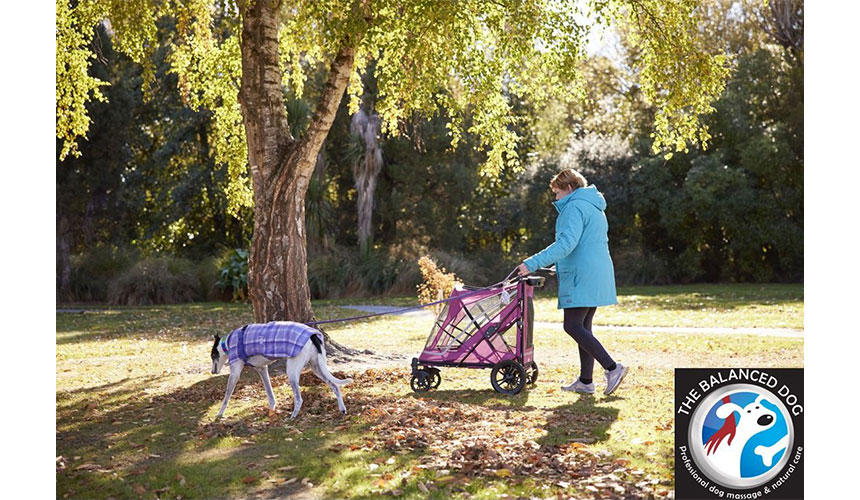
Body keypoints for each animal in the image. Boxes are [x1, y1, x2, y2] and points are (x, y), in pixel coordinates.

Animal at [210, 320, 352, 418]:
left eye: (212, 356)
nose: (212, 372)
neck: (227, 343)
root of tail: (313, 336)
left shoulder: (235, 373)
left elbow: (227, 396)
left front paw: (220, 413)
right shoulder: (262, 369)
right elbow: (270, 393)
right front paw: (272, 409)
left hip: (292, 372)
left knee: (299, 399)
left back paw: (293, 416)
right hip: (317, 367)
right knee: (335, 386)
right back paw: (342, 409)